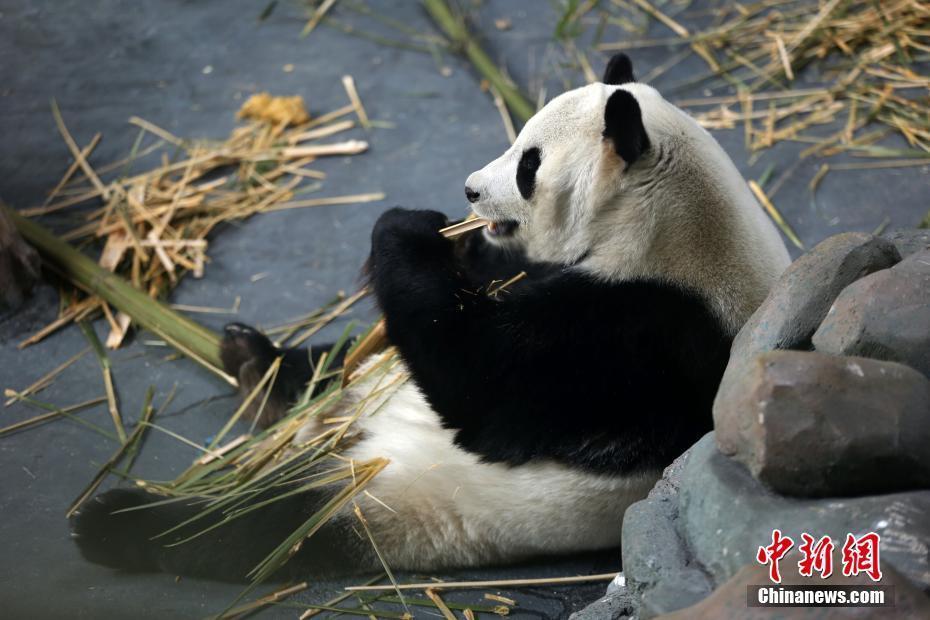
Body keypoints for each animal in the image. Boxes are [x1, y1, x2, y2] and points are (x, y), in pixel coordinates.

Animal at [69, 54, 788, 580]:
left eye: (529, 165)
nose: (470, 190)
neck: (669, 229)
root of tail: (355, 438)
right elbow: (468, 295)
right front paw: (448, 240)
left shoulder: (646, 334)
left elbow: (489, 384)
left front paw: (406, 231)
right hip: (374, 385)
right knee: (341, 361)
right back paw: (256, 364)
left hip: (407, 503)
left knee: (268, 525)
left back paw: (116, 523)